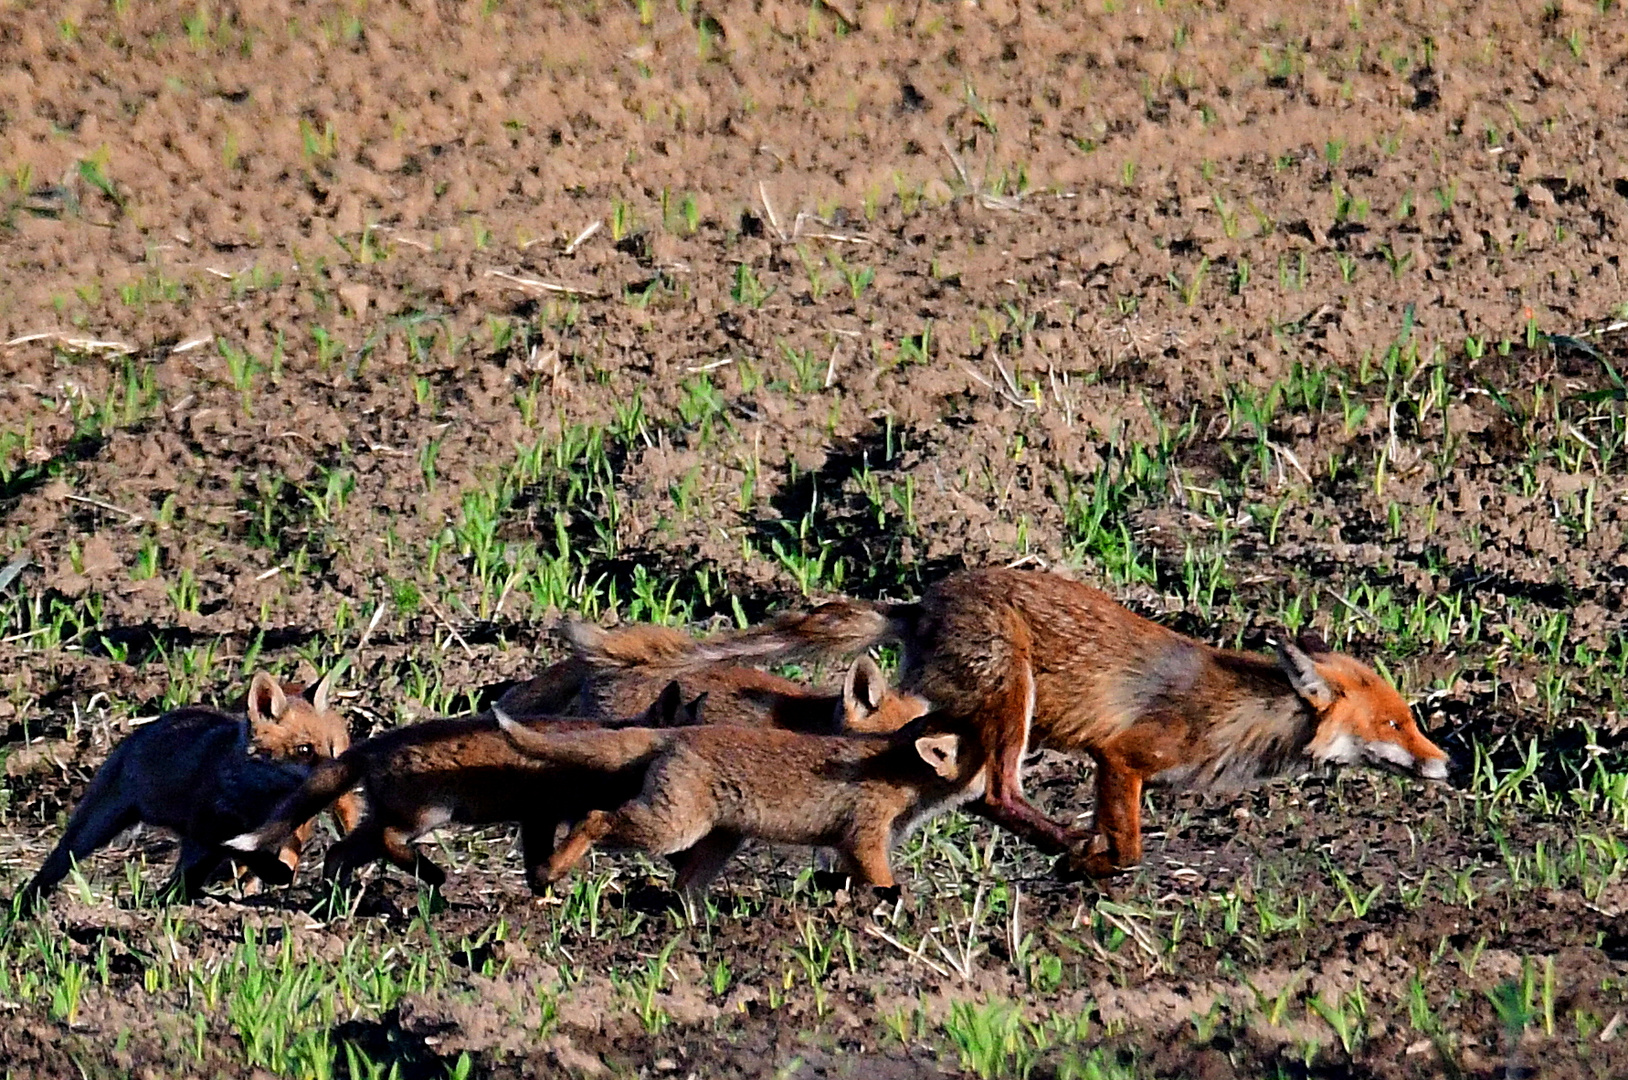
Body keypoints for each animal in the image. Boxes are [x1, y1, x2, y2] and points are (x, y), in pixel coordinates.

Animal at [17, 667, 354, 912]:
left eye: (331, 750)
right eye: (304, 750)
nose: (341, 775)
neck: (258, 796)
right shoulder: (208, 829)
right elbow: (247, 856)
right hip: (94, 827)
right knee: (56, 864)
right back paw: (25, 906)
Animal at [687, 566, 1452, 879]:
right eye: (1392, 726)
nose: (1447, 762)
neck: (1236, 715)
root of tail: (922, 600)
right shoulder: (1123, 757)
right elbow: (1131, 844)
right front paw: (1101, 866)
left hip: (962, 715)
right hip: (1012, 702)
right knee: (1000, 793)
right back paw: (1063, 846)